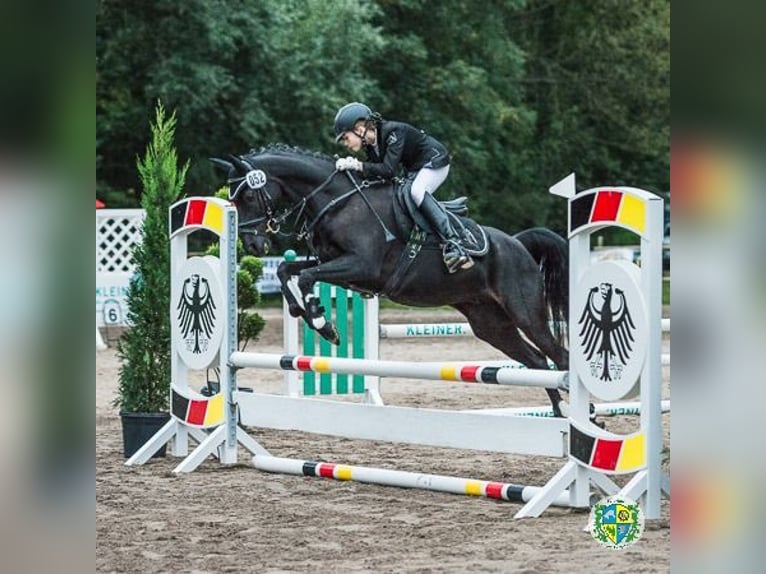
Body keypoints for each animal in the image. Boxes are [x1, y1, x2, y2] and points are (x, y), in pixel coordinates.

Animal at [213, 144, 572, 418]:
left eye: (247, 198)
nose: (253, 246)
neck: (337, 201)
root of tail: (518, 244)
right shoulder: (332, 261)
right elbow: (289, 271)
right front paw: (305, 314)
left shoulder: (362, 267)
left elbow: (306, 278)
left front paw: (323, 323)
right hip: (490, 323)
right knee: (537, 360)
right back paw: (560, 414)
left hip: (524, 312)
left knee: (559, 356)